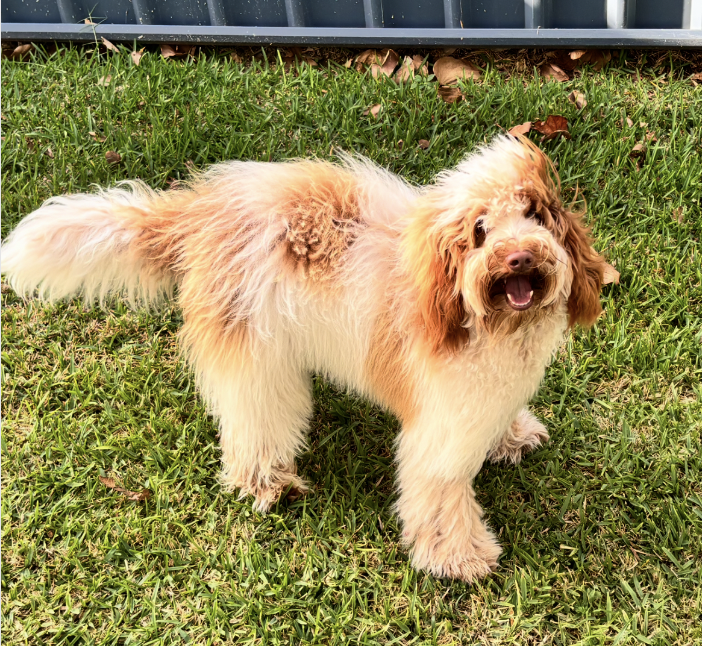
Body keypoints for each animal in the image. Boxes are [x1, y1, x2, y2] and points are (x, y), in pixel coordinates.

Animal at [1, 135, 606, 581]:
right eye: (480, 230)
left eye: (535, 214)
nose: (519, 257)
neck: (484, 318)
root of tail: (200, 213)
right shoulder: (440, 426)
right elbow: (440, 494)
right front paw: (459, 557)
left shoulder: (486, 395)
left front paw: (513, 436)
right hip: (255, 358)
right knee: (255, 421)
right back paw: (266, 481)